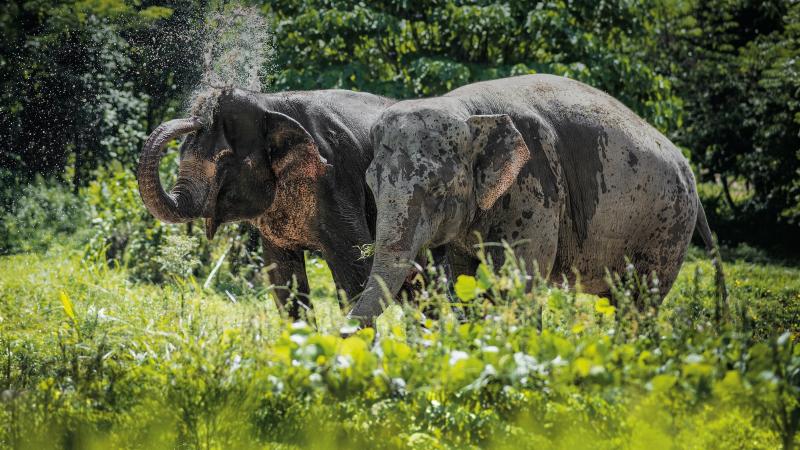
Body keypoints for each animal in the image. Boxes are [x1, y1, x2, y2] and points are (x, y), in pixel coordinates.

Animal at [137, 88, 395, 316]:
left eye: (224, 160)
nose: (197, 118)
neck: (268, 104)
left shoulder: (337, 180)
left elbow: (357, 269)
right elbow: (282, 279)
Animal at [349, 74, 724, 323]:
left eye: (438, 190)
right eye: (371, 185)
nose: (343, 333)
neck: (468, 111)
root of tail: (687, 168)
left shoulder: (536, 188)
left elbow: (519, 281)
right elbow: (465, 278)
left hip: (668, 226)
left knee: (640, 300)